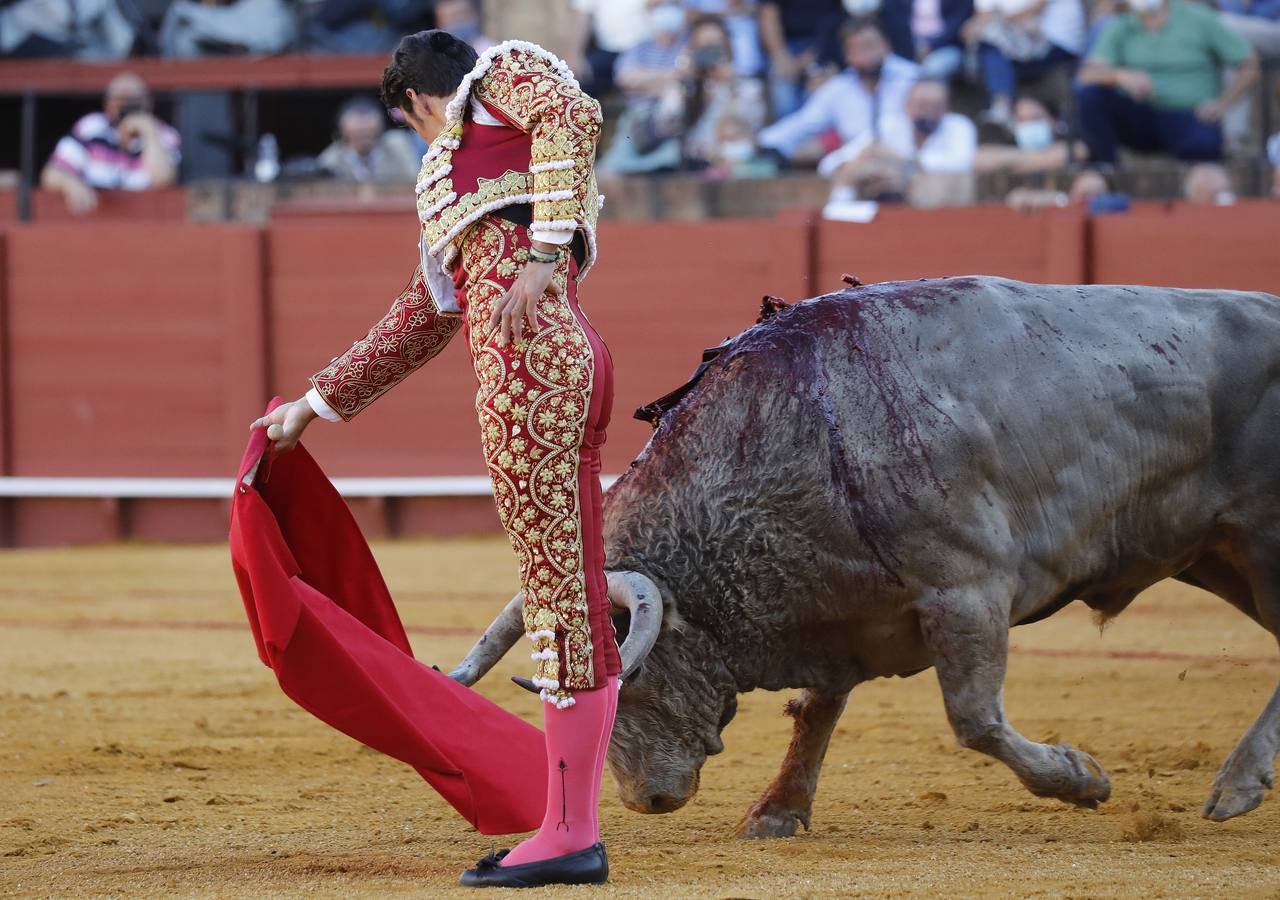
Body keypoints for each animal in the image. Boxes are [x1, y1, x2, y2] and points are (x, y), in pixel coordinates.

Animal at [445, 273, 1274, 839]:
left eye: (630, 683)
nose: (644, 801)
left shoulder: (966, 593)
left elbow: (974, 718)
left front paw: (1081, 779)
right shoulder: (843, 615)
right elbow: (817, 710)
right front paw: (776, 812)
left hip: (1261, 544)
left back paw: (1234, 787)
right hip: (1216, 554)